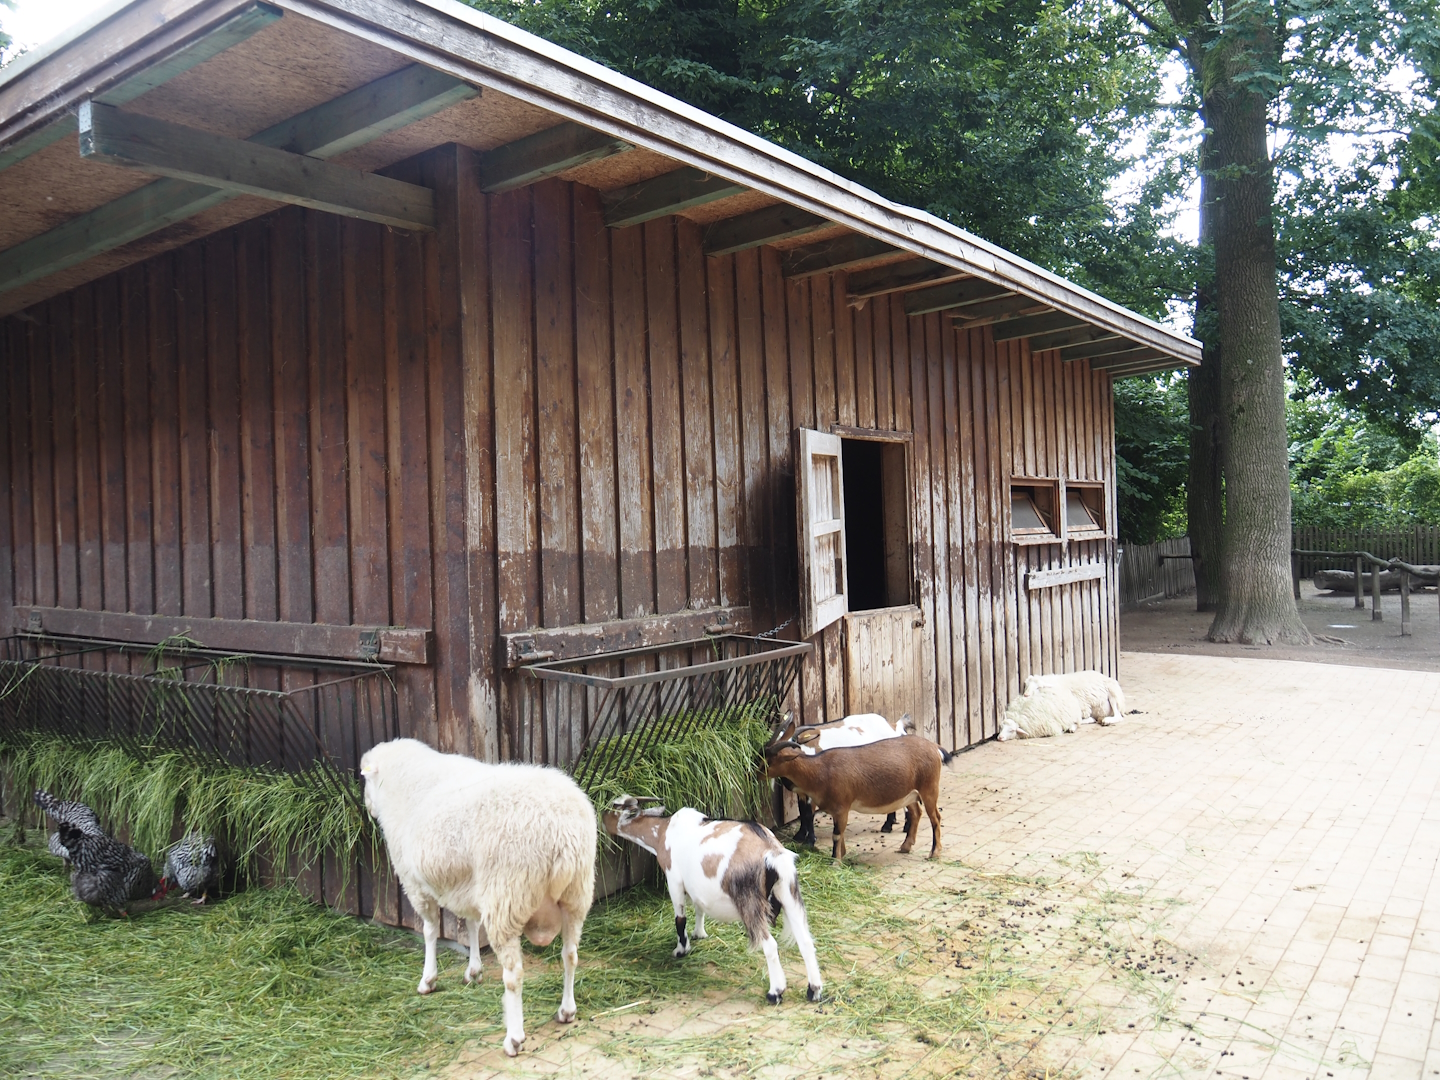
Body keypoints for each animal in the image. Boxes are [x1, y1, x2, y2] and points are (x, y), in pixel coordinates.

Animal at [359, 738, 596, 1057]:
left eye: (365, 779)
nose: (368, 807)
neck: (402, 783)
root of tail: (563, 835)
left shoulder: (415, 883)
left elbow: (430, 931)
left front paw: (428, 979)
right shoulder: (467, 886)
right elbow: (471, 926)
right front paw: (473, 971)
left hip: (506, 896)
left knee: (514, 973)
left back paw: (514, 1038)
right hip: (576, 896)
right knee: (570, 955)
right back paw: (566, 1011)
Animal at [603, 796, 823, 1004]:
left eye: (613, 808)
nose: (602, 818)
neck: (663, 832)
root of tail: (771, 854)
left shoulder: (674, 878)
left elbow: (679, 919)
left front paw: (681, 950)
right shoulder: (695, 884)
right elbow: (699, 907)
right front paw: (699, 934)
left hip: (750, 903)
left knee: (770, 945)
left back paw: (775, 993)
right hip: (788, 892)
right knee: (805, 940)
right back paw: (814, 990)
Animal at [763, 735, 951, 862]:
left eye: (769, 761)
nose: (757, 773)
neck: (821, 770)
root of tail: (934, 747)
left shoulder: (842, 806)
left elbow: (836, 834)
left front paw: (836, 861)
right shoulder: (838, 810)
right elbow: (840, 833)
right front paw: (841, 855)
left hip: (929, 788)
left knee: (935, 817)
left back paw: (934, 853)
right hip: (908, 794)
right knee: (916, 812)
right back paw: (905, 846)